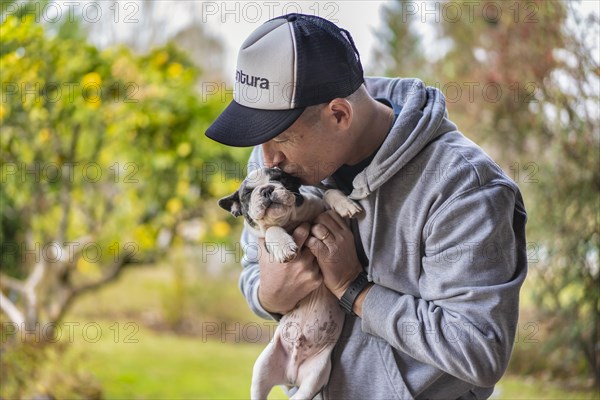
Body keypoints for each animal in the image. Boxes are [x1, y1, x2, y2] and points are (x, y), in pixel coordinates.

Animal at [219, 166, 364, 400]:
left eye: (282, 179)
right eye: (248, 193)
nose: (267, 189)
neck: (289, 222)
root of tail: (290, 375)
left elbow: (328, 193)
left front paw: (345, 204)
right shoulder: (264, 240)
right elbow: (271, 230)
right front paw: (283, 245)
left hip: (317, 373)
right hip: (262, 367)